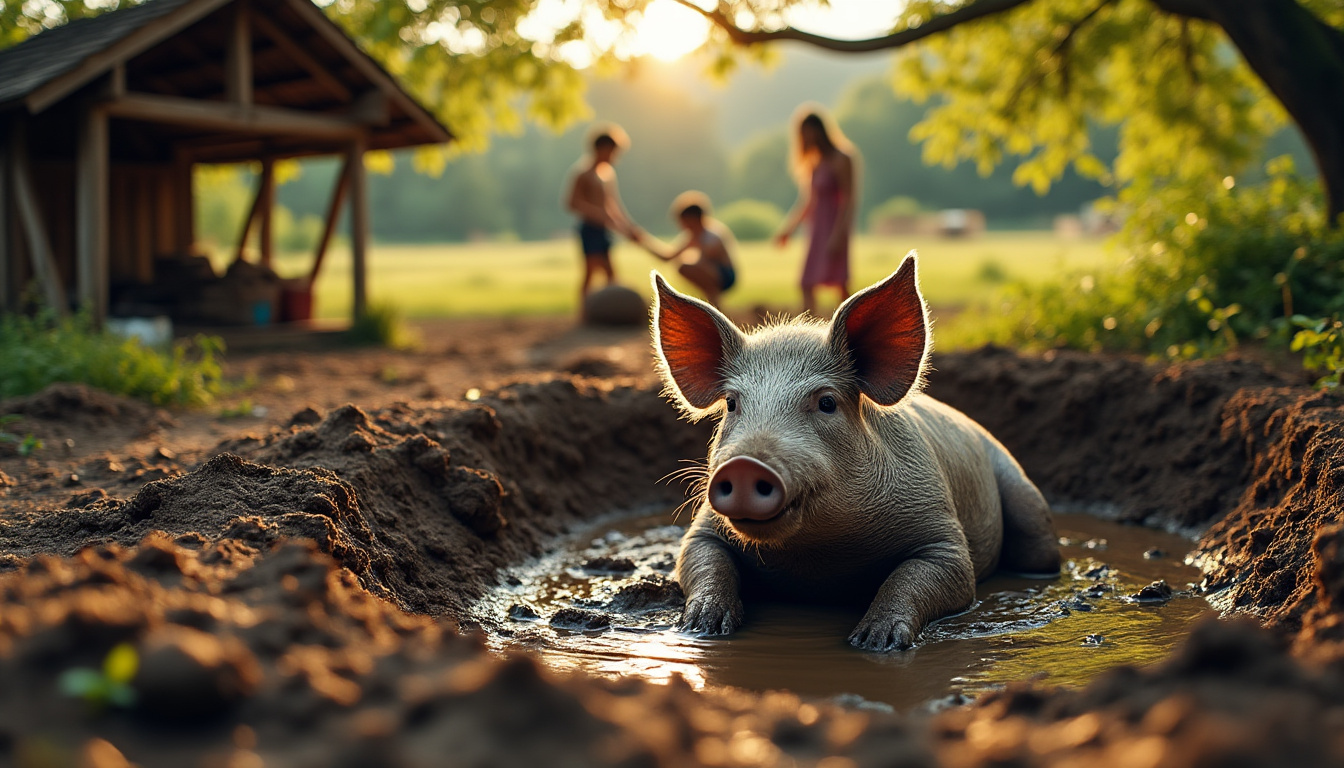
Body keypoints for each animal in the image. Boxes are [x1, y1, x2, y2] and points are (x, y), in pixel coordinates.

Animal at [650, 253, 1060, 652]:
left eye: (827, 402)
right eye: (733, 404)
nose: (744, 465)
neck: (818, 560)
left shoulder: (942, 534)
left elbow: (930, 577)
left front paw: (874, 643)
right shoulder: (702, 530)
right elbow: (700, 560)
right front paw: (700, 627)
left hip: (1024, 496)